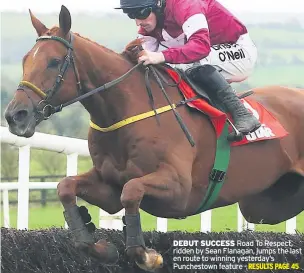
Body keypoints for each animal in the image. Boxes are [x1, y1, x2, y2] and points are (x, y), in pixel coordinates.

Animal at [4, 5, 304, 270]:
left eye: (54, 62)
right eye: (25, 60)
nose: (15, 115)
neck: (126, 109)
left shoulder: (180, 191)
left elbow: (131, 190)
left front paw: (146, 254)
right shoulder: (108, 187)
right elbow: (66, 186)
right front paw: (98, 243)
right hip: (262, 206)